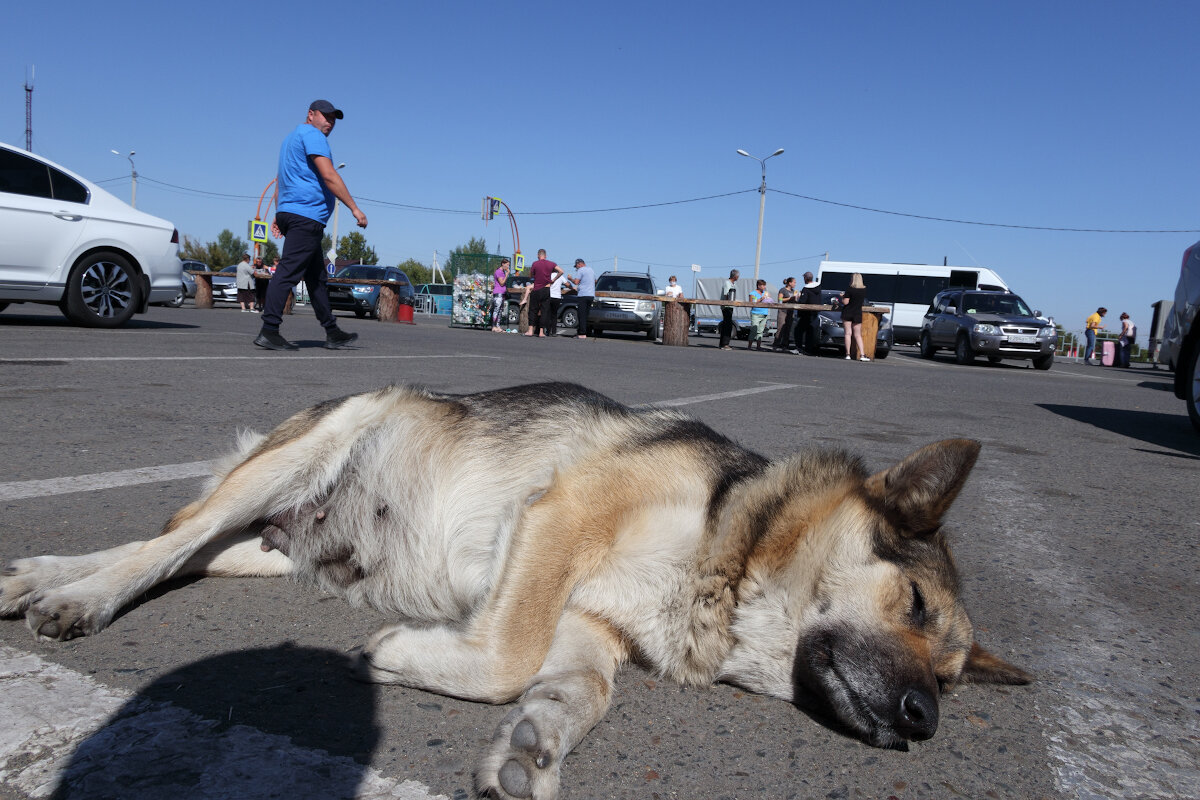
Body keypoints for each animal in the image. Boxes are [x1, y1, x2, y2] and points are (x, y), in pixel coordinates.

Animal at [2, 383, 1032, 800]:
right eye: (914, 606)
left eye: (950, 677)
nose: (926, 720)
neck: (728, 550)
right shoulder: (560, 517)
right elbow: (506, 653)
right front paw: (403, 654)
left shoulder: (593, 628)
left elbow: (574, 691)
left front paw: (531, 748)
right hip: (301, 452)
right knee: (166, 542)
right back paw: (78, 596)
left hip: (260, 544)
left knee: (178, 547)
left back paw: (42, 574)